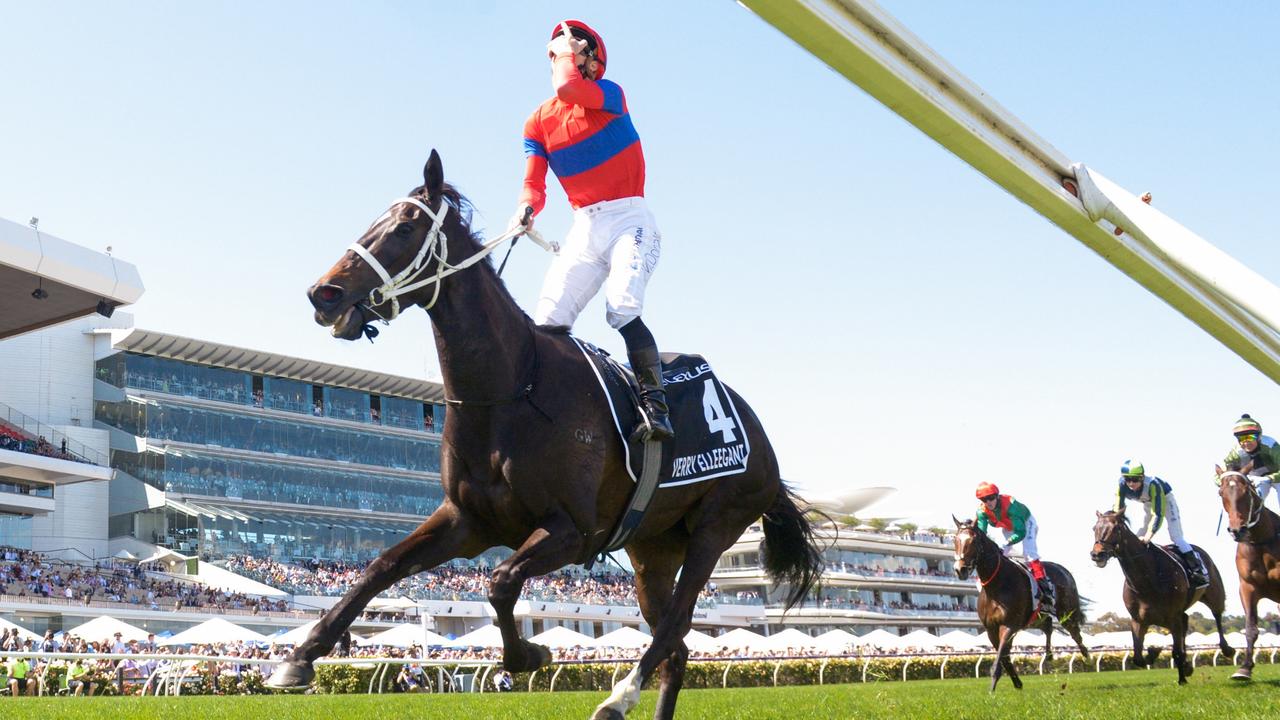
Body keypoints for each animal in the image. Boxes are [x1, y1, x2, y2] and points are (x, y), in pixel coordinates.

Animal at [266, 148, 824, 712]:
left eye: (404, 226)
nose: (323, 293)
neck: (511, 388)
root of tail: (758, 434)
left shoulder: (572, 531)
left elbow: (500, 580)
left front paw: (528, 654)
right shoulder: (466, 521)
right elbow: (382, 566)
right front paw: (301, 656)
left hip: (717, 526)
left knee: (674, 626)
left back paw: (618, 699)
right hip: (653, 549)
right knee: (678, 647)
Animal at [957, 512, 1085, 686]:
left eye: (974, 541)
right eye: (955, 540)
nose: (960, 569)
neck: (997, 586)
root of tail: (1064, 570)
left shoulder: (1009, 625)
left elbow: (1001, 656)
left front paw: (994, 684)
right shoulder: (991, 629)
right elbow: (1004, 656)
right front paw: (1016, 682)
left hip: (1067, 613)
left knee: (1076, 634)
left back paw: (1087, 656)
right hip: (1036, 618)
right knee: (1048, 626)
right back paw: (1049, 656)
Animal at [1090, 507, 1228, 681]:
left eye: (1116, 528)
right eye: (1094, 528)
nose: (1097, 554)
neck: (1147, 581)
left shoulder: (1173, 617)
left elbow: (1176, 652)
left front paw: (1182, 679)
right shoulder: (1138, 620)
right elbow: (1137, 657)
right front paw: (1154, 652)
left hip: (1214, 595)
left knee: (1217, 616)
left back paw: (1227, 649)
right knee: (1186, 621)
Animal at [1213, 458, 1274, 676]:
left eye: (1246, 491)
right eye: (1221, 492)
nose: (1237, 530)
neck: (1261, 542)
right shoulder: (1247, 587)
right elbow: (1250, 629)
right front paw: (1245, 668)